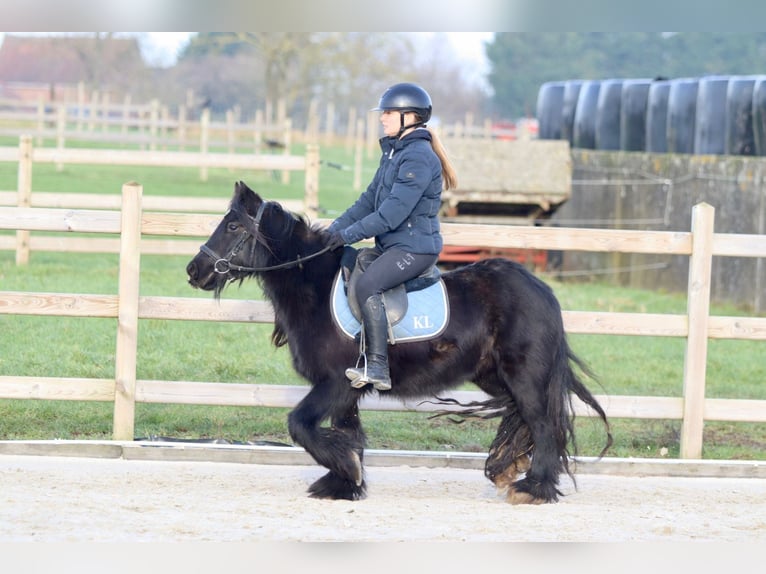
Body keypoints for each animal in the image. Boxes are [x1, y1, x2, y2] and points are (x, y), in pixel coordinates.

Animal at [186, 181, 612, 504]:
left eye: (234, 227)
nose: (194, 270)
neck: (315, 287)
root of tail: (541, 290)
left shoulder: (335, 383)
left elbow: (301, 426)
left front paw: (346, 470)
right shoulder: (347, 390)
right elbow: (347, 432)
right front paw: (345, 483)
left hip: (524, 376)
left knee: (543, 423)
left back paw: (535, 487)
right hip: (495, 377)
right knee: (523, 416)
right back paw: (510, 467)